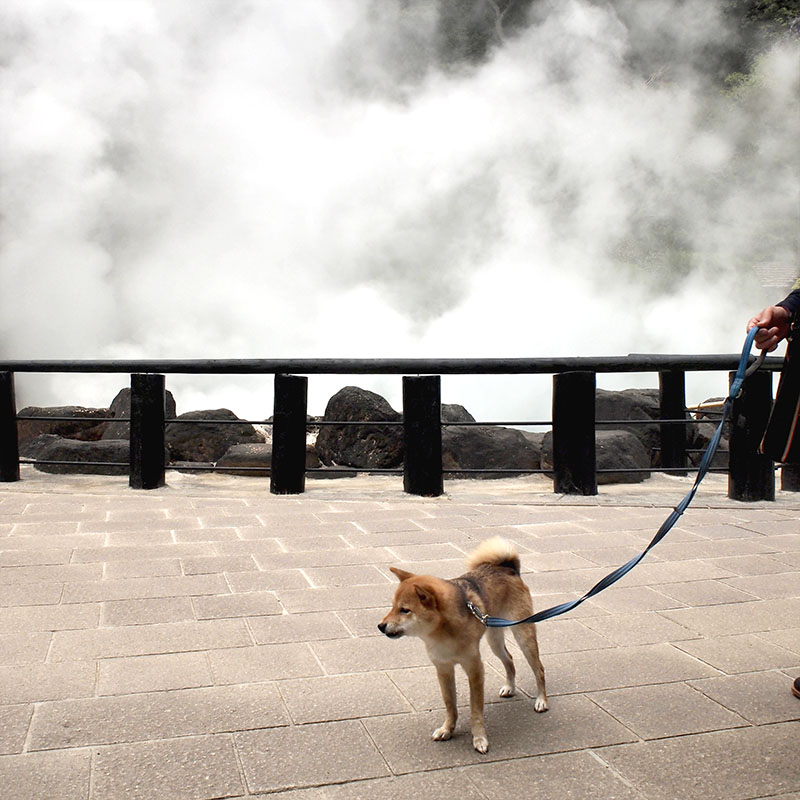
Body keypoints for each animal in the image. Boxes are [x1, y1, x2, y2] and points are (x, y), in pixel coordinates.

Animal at [378, 536, 548, 752]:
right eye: (392, 607)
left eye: (405, 610)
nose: (380, 626)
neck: (441, 634)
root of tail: (507, 568)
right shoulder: (443, 668)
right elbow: (450, 704)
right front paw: (447, 729)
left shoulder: (475, 668)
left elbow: (475, 710)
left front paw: (479, 738)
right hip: (494, 639)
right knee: (509, 659)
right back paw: (510, 687)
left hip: (523, 635)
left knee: (539, 669)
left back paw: (541, 700)